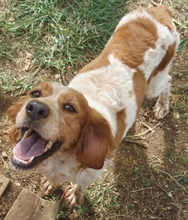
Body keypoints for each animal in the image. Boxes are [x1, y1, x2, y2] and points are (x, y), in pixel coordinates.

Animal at [8, 5, 180, 208]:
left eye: (70, 108)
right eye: (35, 94)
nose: (35, 108)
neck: (62, 157)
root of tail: (160, 9)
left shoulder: (92, 173)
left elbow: (80, 186)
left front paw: (75, 196)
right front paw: (51, 183)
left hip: (154, 84)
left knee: (168, 80)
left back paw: (162, 106)